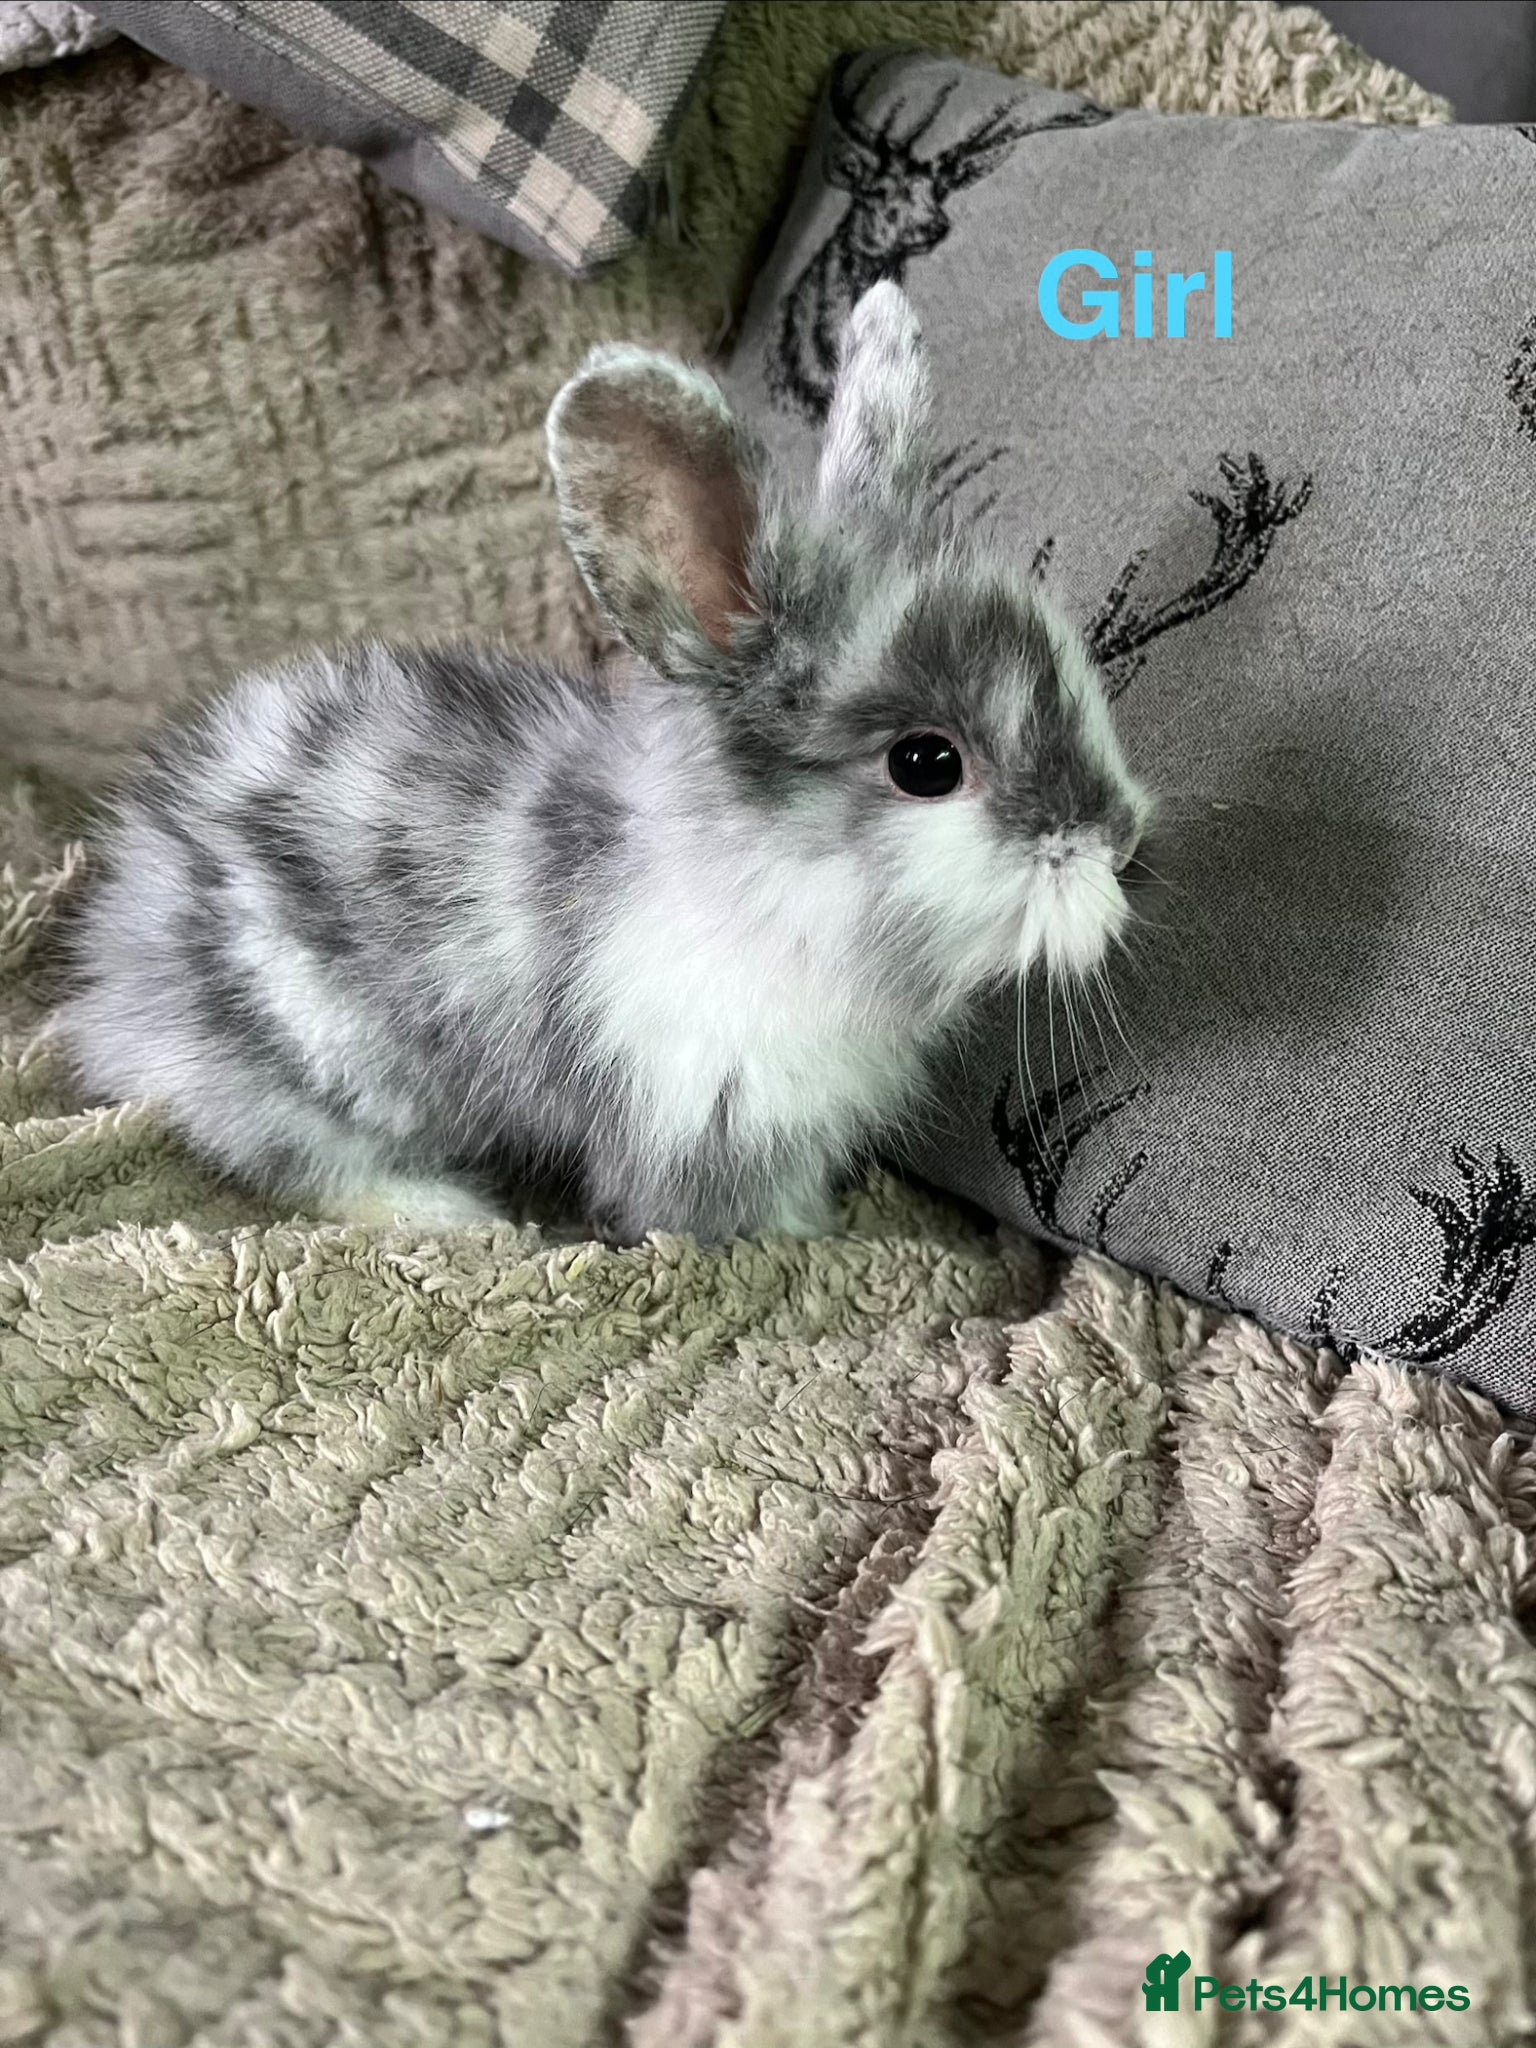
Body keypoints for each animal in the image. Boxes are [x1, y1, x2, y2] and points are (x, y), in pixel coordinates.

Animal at [55, 281, 1153, 1243]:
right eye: (928, 763)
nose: (1120, 838)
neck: (770, 893)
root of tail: (118, 959)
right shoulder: (704, 1116)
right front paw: (814, 1239)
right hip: (303, 1059)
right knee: (297, 1159)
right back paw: (449, 1216)